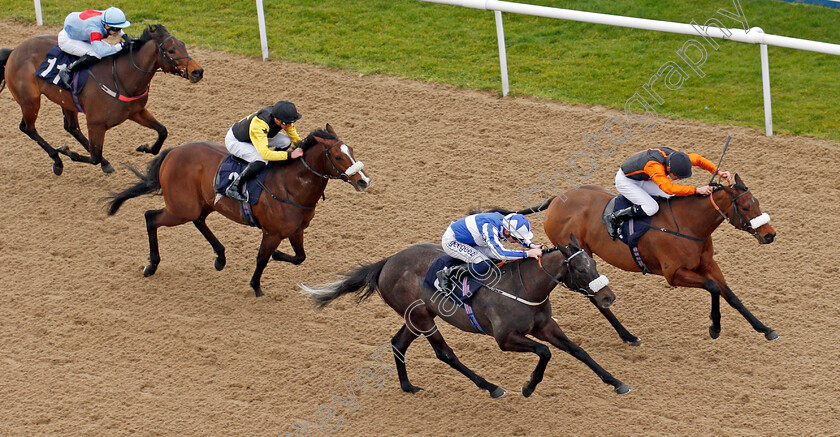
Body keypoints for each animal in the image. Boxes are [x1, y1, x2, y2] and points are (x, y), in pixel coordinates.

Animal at [0, 24, 203, 175]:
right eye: (171, 50)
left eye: (183, 45)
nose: (198, 71)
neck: (121, 77)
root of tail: (14, 51)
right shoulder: (96, 123)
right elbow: (94, 157)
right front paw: (66, 151)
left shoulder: (135, 111)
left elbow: (162, 131)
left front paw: (145, 148)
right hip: (30, 100)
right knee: (28, 128)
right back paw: (57, 160)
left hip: (65, 100)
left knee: (71, 127)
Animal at [106, 124, 370, 298]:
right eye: (338, 156)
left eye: (352, 150)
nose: (364, 181)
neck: (291, 185)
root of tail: (173, 151)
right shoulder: (272, 233)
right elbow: (262, 258)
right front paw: (256, 286)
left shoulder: (296, 230)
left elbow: (299, 257)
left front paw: (277, 256)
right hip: (182, 208)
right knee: (151, 217)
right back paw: (152, 265)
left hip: (202, 203)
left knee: (199, 221)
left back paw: (220, 258)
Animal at [302, 235, 632, 398]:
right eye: (580, 269)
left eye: (594, 263)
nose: (608, 298)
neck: (524, 285)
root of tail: (387, 263)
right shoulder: (505, 339)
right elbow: (545, 352)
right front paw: (528, 387)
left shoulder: (545, 326)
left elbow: (578, 351)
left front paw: (617, 382)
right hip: (423, 319)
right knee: (445, 354)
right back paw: (491, 387)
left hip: (416, 317)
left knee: (398, 343)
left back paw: (408, 387)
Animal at [488, 174, 776, 340]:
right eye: (746, 206)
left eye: (758, 202)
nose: (770, 235)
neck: (688, 225)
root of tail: (556, 201)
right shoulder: (674, 274)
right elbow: (714, 288)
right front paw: (715, 327)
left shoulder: (708, 263)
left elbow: (731, 295)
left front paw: (764, 329)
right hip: (578, 255)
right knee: (595, 295)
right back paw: (626, 335)